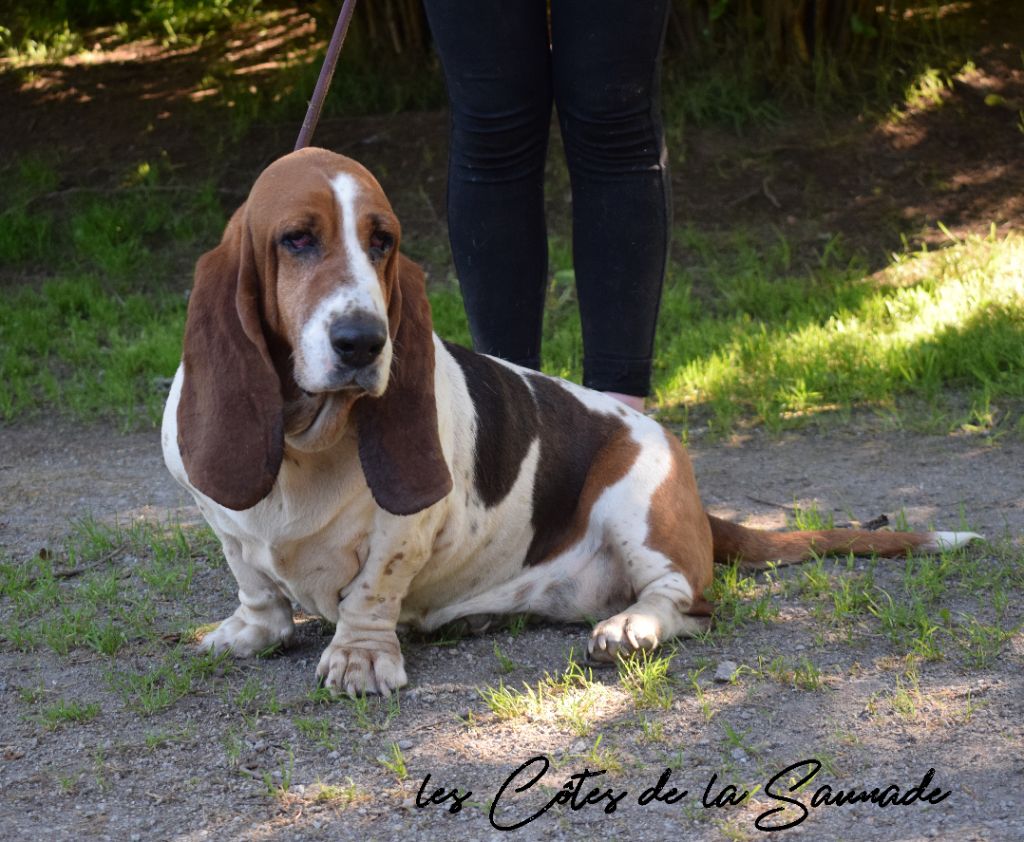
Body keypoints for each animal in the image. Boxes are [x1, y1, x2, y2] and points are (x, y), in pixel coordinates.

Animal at [161, 146, 983, 700]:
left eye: (381, 241)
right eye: (296, 239)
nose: (364, 342)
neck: (308, 441)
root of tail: (693, 496)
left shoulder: (406, 529)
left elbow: (372, 587)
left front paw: (360, 655)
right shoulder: (226, 526)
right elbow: (254, 583)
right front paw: (249, 633)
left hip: (634, 501)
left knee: (687, 602)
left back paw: (628, 630)